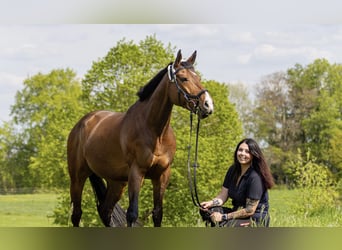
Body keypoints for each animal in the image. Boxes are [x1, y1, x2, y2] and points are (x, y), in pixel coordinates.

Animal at [67, 49, 214, 228]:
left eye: (198, 77)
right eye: (184, 78)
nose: (208, 105)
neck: (155, 132)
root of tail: (83, 122)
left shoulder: (162, 175)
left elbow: (158, 213)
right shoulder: (136, 173)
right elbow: (132, 213)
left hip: (117, 182)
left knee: (105, 211)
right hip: (77, 177)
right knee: (77, 214)